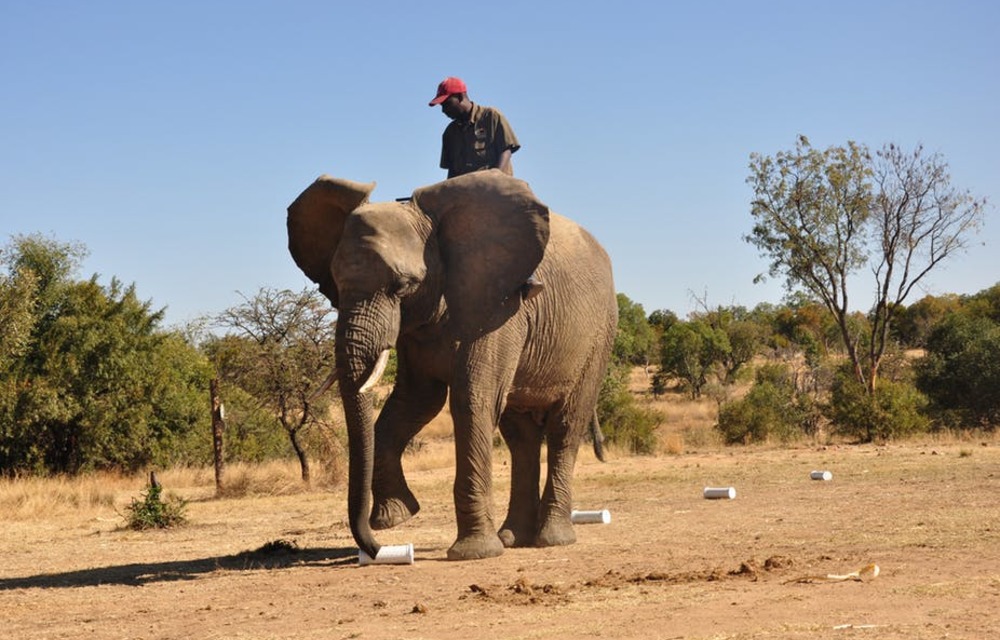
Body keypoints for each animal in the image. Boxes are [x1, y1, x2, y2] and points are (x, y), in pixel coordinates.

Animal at [286, 169, 616, 560]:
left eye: (403, 286)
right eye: (335, 284)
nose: (377, 547)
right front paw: (399, 516)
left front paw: (473, 553)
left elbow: (472, 400)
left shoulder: (499, 309)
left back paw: (551, 539)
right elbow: (415, 402)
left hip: (598, 336)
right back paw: (513, 539)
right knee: (520, 436)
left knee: (565, 426)